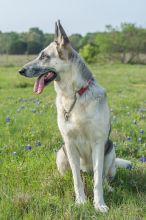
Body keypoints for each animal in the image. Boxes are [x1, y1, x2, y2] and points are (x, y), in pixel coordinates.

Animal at [18, 21, 132, 213]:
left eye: (44, 56)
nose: (20, 70)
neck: (74, 96)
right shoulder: (70, 144)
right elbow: (76, 180)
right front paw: (81, 201)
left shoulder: (98, 143)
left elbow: (97, 182)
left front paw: (99, 204)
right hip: (61, 154)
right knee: (75, 174)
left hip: (110, 151)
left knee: (103, 177)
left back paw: (108, 186)